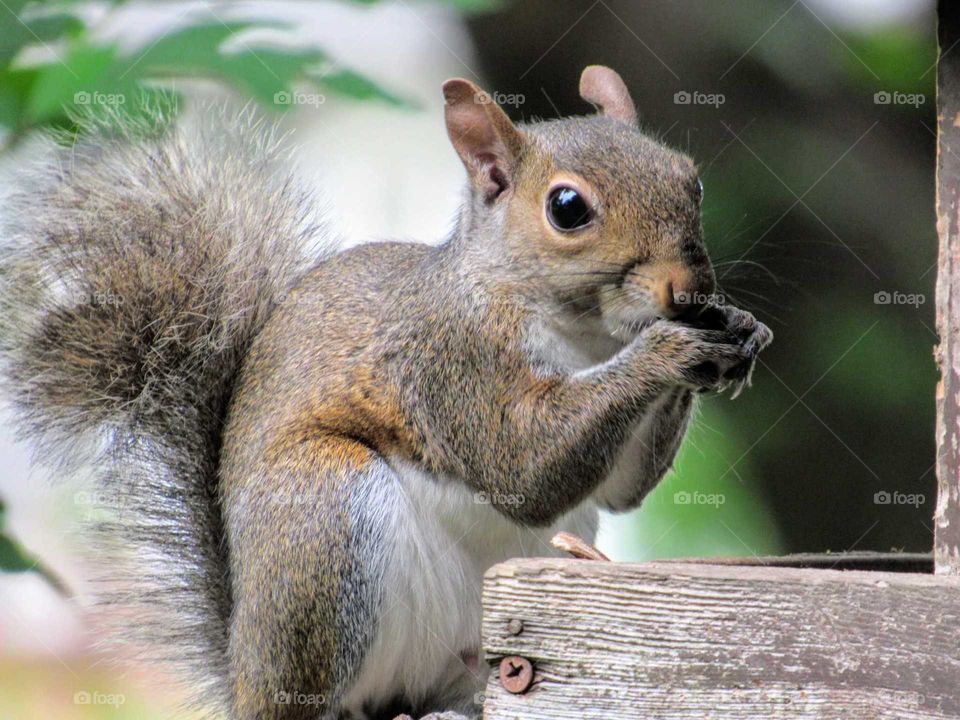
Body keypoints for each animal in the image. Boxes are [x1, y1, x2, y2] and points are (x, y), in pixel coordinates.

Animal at [0, 66, 770, 720]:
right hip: (323, 517)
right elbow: (521, 467)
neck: (585, 337)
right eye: (567, 207)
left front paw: (739, 330)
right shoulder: (447, 359)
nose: (688, 291)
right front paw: (670, 349)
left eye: (691, 181)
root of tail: (245, 675)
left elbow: (620, 490)